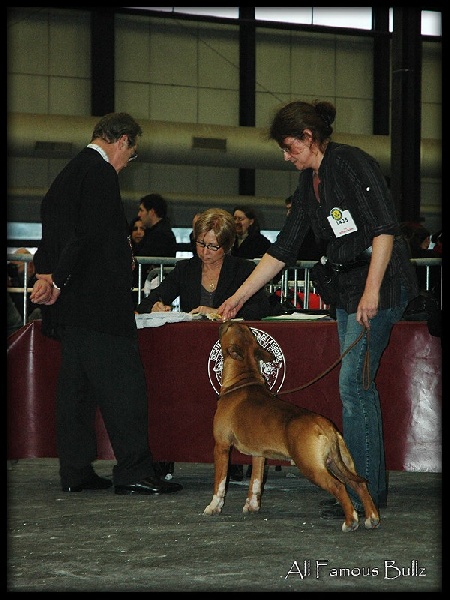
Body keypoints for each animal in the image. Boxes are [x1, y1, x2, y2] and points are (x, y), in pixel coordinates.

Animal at [204, 322, 380, 532]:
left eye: (229, 327)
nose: (224, 321)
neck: (242, 380)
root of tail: (324, 423)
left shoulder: (221, 447)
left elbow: (220, 483)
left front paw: (214, 507)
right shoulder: (259, 455)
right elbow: (256, 482)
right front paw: (252, 506)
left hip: (311, 467)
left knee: (338, 486)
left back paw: (350, 521)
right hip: (338, 463)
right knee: (358, 484)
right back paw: (372, 518)